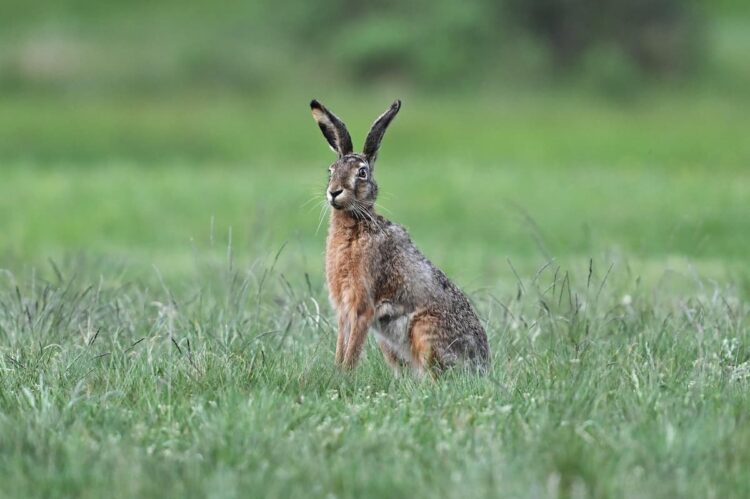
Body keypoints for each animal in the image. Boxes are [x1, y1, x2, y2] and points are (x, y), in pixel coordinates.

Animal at [310, 99, 490, 375]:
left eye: (362, 173)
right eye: (331, 171)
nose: (334, 192)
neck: (356, 224)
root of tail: (482, 366)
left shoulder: (363, 306)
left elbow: (353, 348)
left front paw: (345, 375)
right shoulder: (343, 309)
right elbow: (342, 344)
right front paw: (337, 372)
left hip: (424, 331)